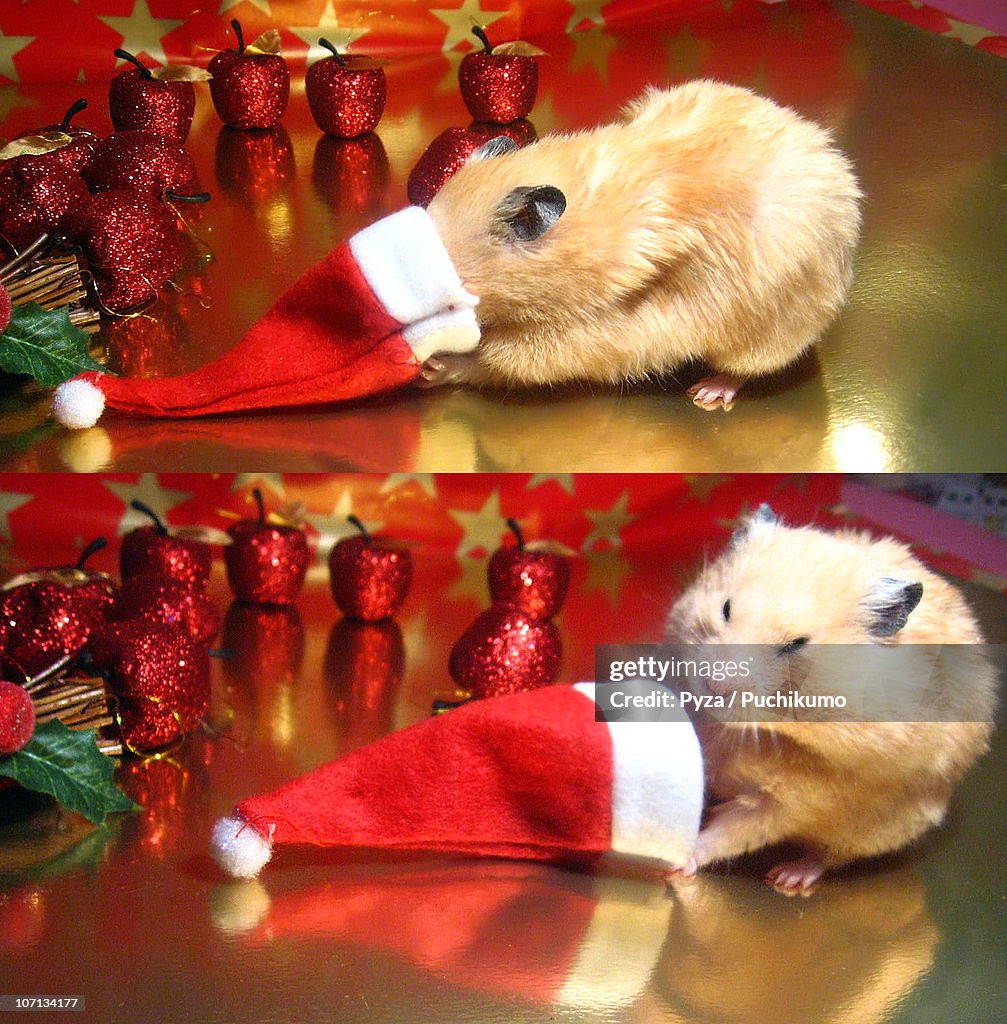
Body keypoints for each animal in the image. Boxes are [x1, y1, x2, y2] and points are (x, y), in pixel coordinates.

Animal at [422, 79, 860, 409]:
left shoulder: (586, 336)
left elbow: (496, 360)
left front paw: (435, 366)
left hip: (768, 332)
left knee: (744, 368)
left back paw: (707, 392)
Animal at [663, 507, 995, 892]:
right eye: (726, 608)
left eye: (796, 644)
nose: (714, 686)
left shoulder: (785, 804)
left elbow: (730, 833)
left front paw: (676, 864)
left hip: (874, 831)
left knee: (827, 858)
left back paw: (789, 877)